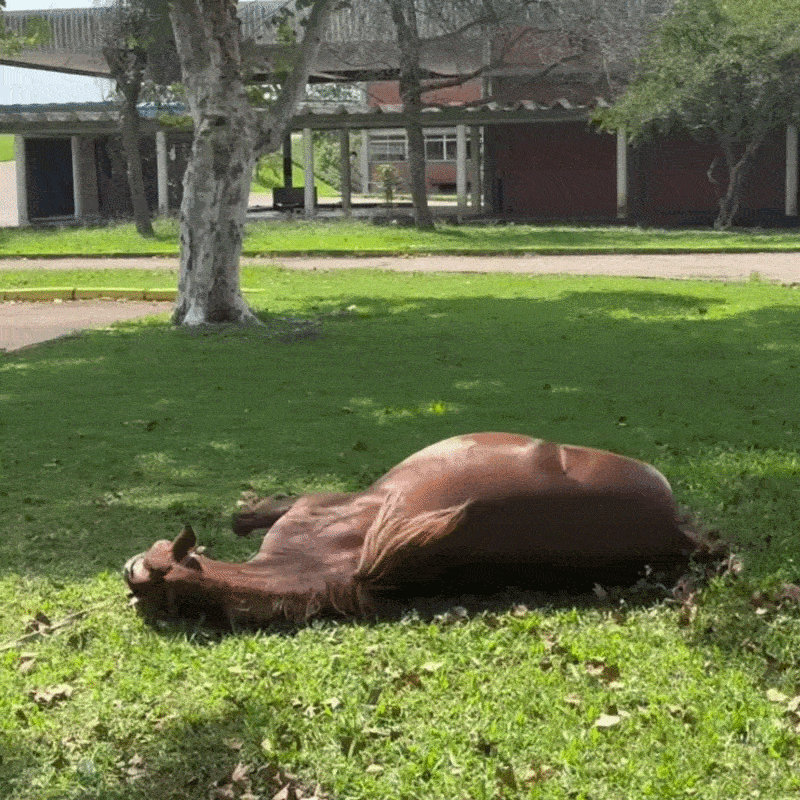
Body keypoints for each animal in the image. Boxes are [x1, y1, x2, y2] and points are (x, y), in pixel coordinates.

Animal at [124, 432, 714, 626]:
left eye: (155, 569)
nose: (128, 572)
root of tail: (675, 532)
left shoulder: (314, 504)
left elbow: (259, 509)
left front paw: (243, 513)